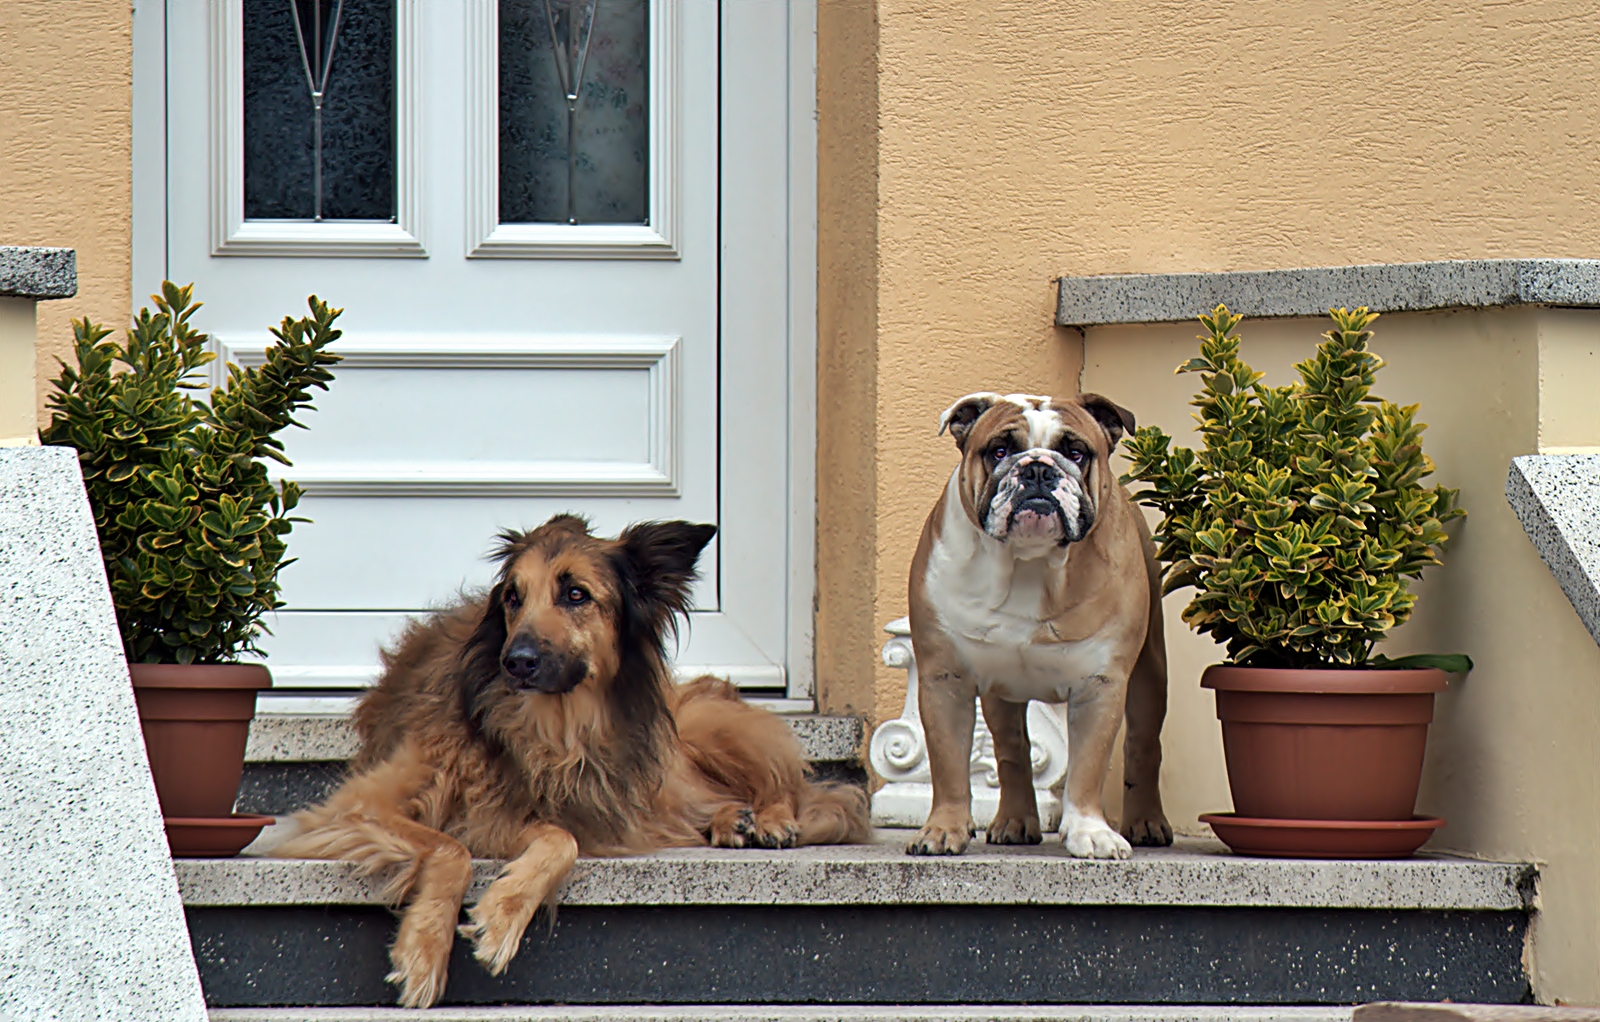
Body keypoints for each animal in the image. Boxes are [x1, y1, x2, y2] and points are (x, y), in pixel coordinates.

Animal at [278, 518, 876, 1010]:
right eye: (512, 597)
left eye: (575, 594)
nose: (515, 662)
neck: (551, 725)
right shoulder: (364, 806)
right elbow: (454, 848)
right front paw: (426, 952)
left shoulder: (555, 808)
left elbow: (557, 842)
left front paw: (498, 917)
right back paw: (734, 821)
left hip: (700, 726)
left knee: (808, 790)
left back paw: (770, 819)